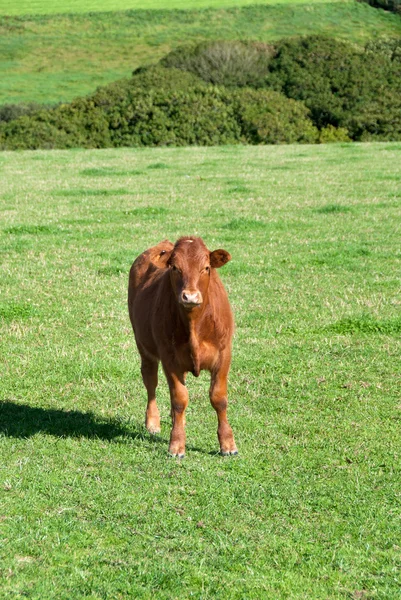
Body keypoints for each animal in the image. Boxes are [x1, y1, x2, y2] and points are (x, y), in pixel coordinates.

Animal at [127, 237, 238, 458]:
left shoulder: (224, 355)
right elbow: (179, 398)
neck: (195, 324)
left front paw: (228, 444)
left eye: (206, 268)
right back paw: (153, 422)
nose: (190, 297)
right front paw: (176, 444)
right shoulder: (169, 359)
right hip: (144, 348)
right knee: (150, 381)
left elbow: (219, 398)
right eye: (175, 268)